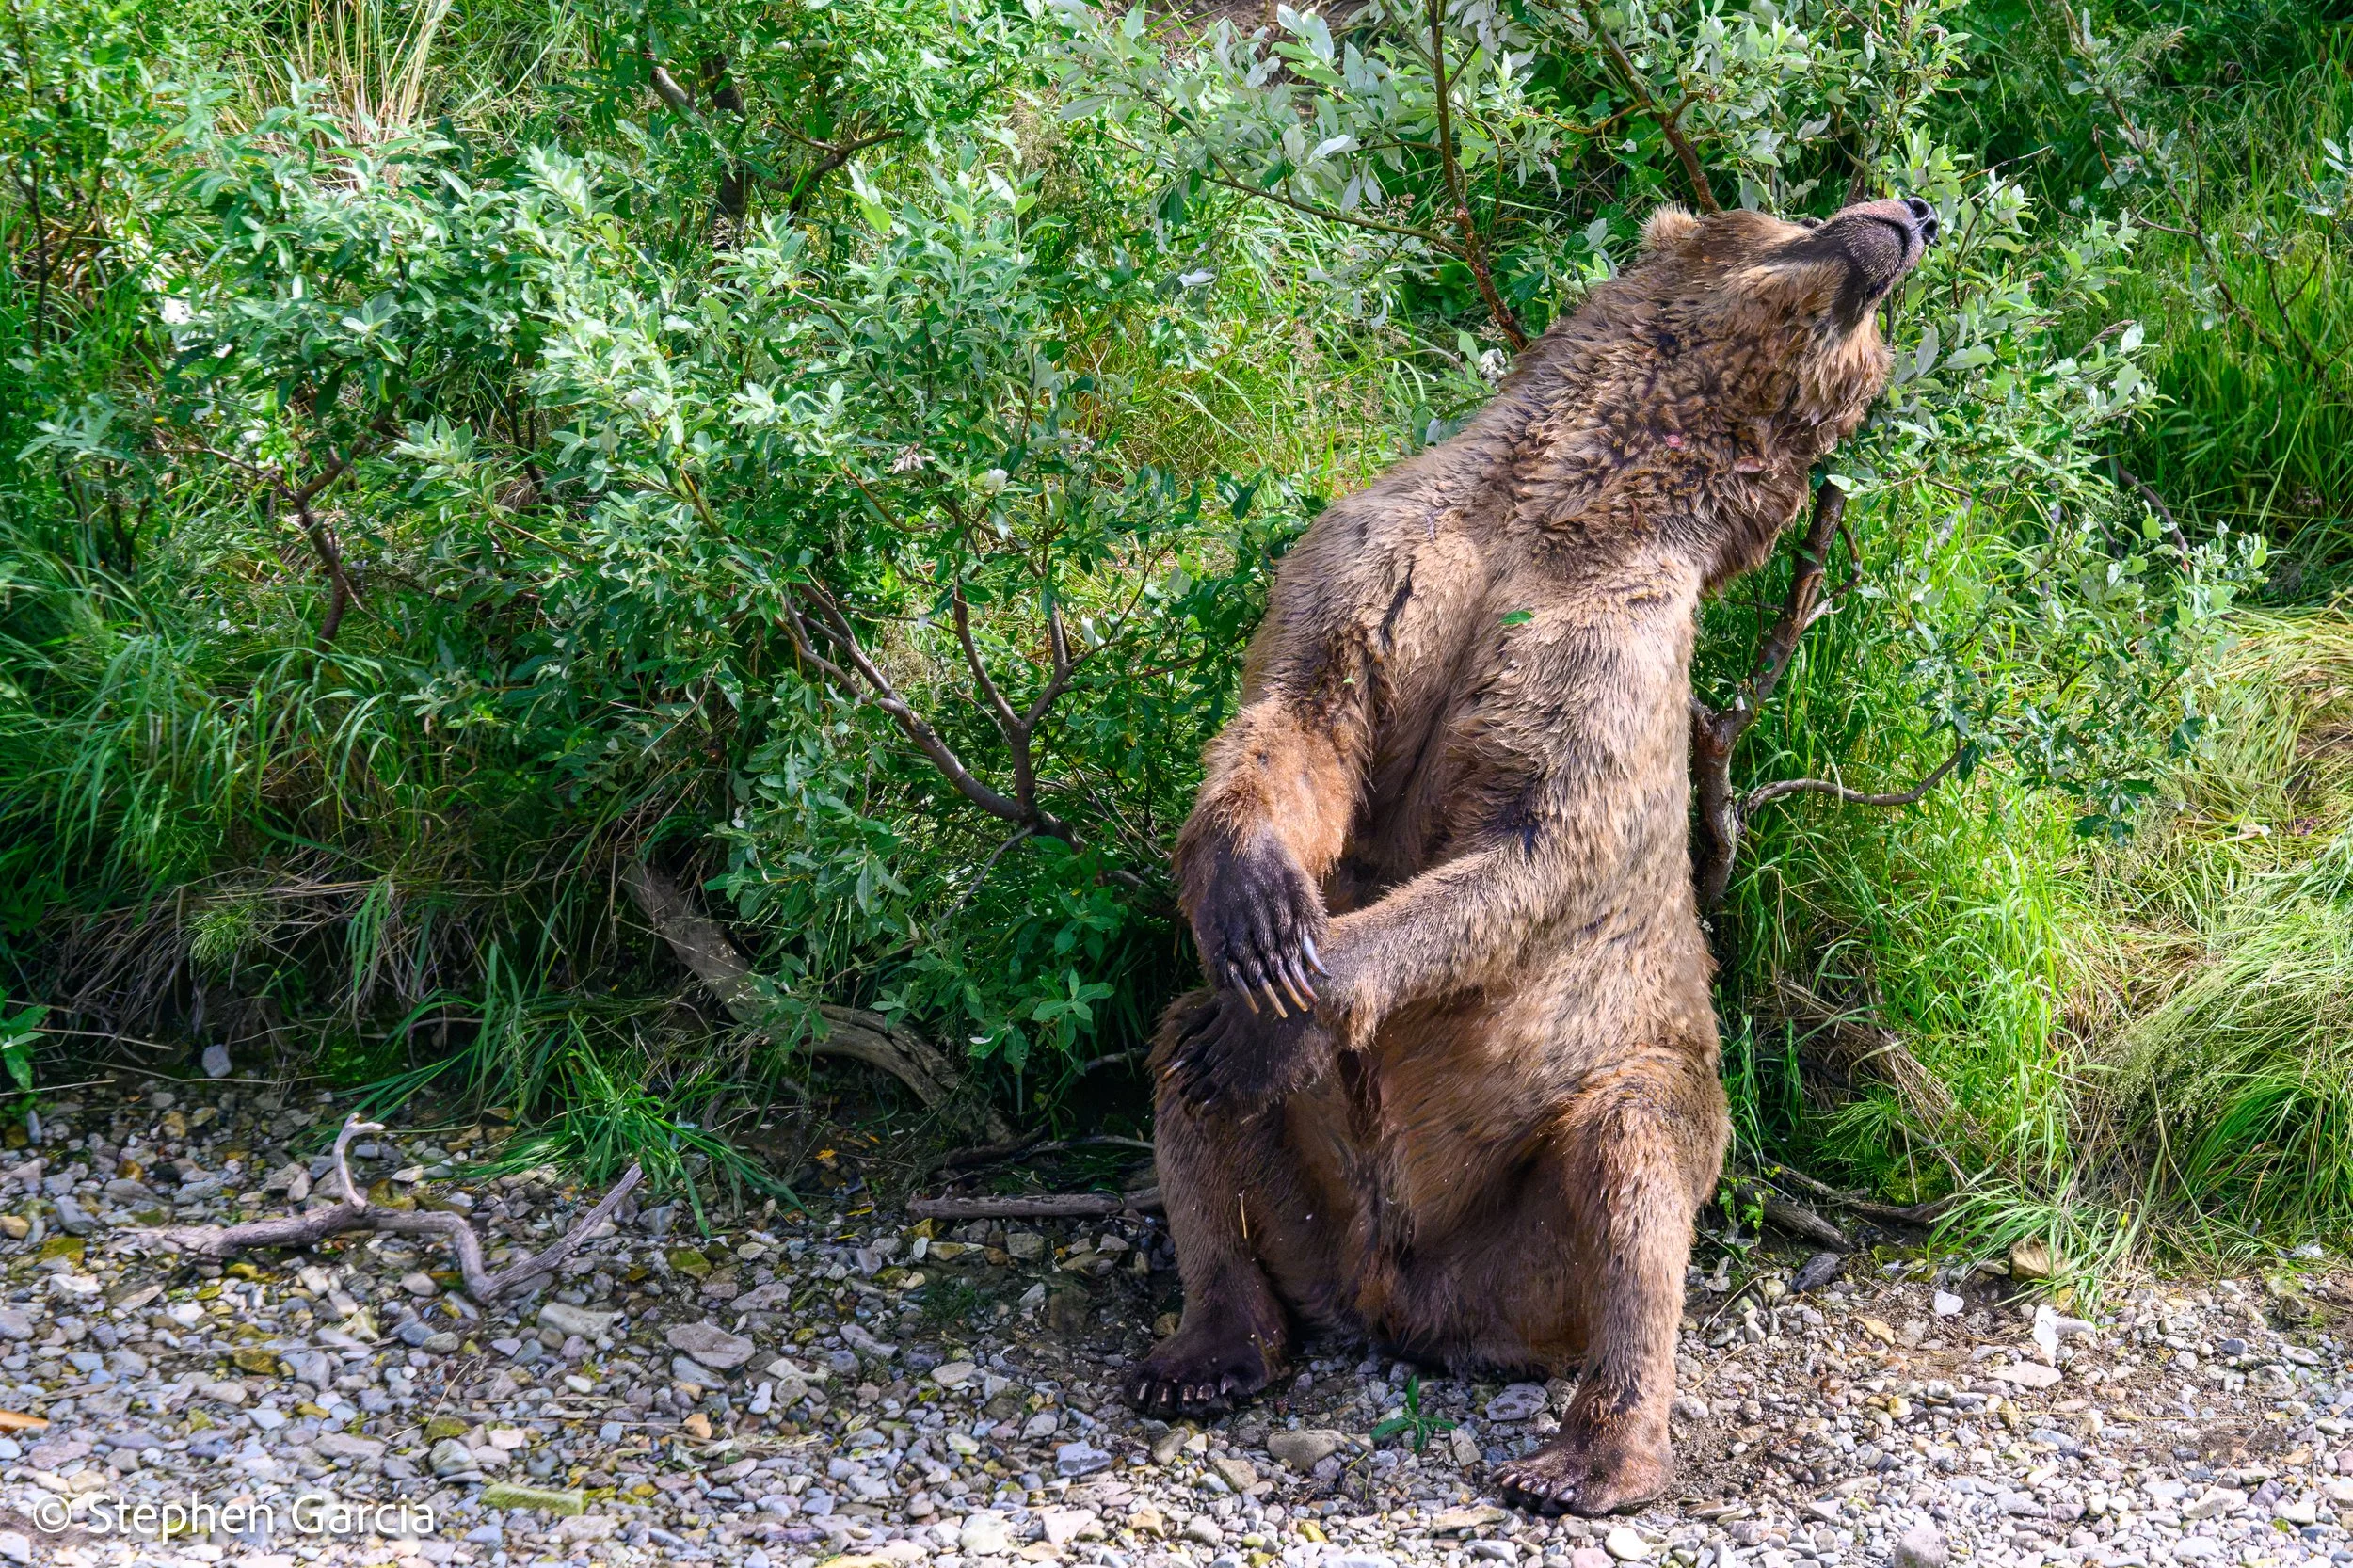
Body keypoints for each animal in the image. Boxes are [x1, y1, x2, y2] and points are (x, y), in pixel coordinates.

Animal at [1124, 195, 1940, 1515]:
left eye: (1869, 364)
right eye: (1793, 208)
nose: (1917, 211)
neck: (1560, 504)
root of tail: (1410, 1307)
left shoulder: (1613, 650)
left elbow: (1529, 847)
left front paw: (1295, 1001)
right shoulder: (1378, 547)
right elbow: (1301, 715)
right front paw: (1254, 902)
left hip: (1581, 1163)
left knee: (1630, 1178)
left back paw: (1588, 1454)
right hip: (1314, 1205)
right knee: (1179, 1069)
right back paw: (1206, 1348)